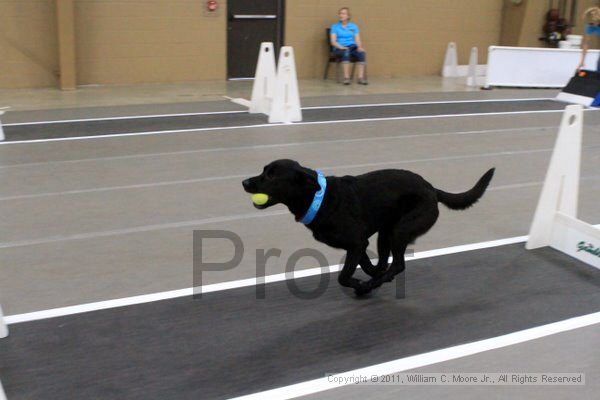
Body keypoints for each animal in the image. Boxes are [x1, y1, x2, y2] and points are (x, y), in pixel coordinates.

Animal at [241, 160, 494, 296]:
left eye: (271, 176)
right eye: (263, 170)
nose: (244, 182)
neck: (318, 198)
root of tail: (432, 189)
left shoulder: (356, 242)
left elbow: (344, 276)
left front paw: (360, 284)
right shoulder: (359, 244)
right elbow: (366, 263)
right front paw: (368, 276)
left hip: (399, 231)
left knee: (399, 264)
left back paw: (371, 285)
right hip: (386, 232)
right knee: (387, 262)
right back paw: (378, 279)